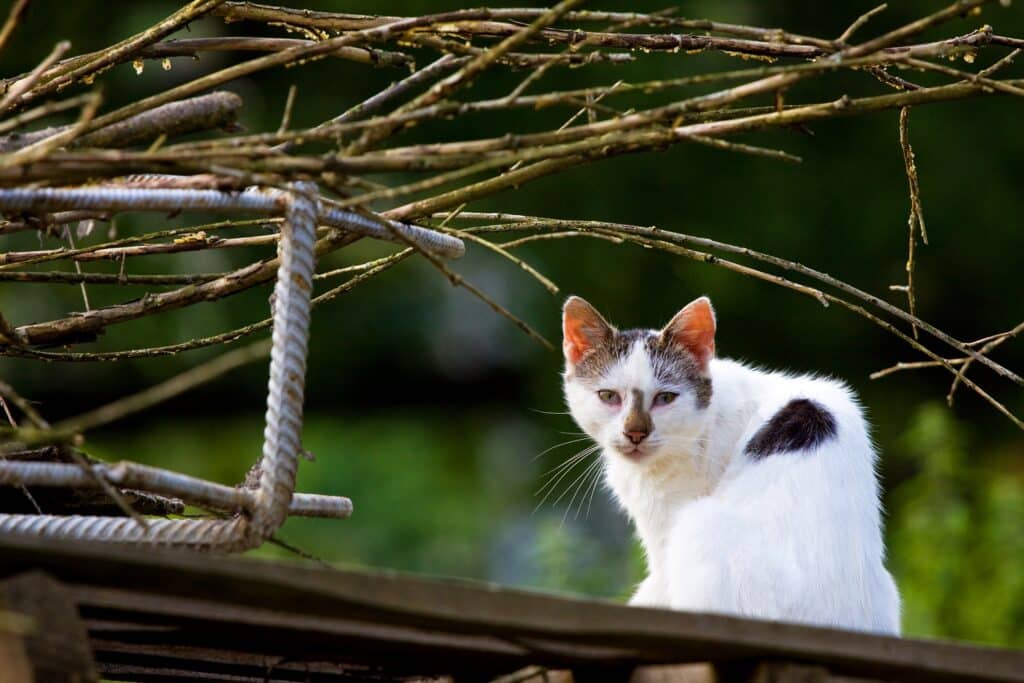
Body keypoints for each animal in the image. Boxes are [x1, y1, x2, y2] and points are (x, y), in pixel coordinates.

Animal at [565, 294, 901, 634]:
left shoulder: (666, 539)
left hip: (699, 526)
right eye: (608, 396)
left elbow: (657, 588)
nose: (635, 433)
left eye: (665, 398)